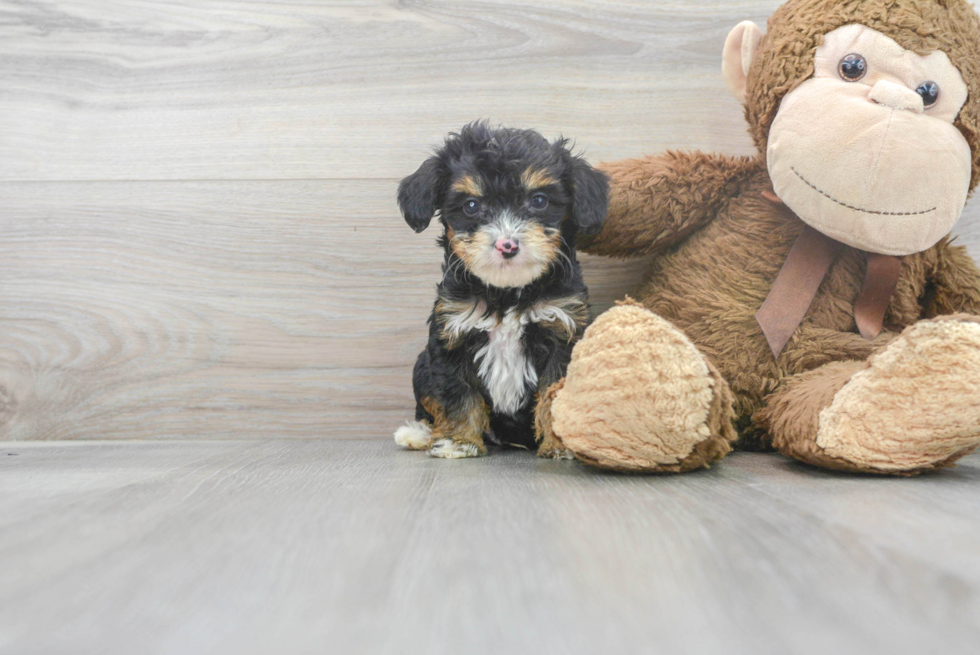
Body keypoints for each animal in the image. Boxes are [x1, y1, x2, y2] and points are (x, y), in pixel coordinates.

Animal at [394, 123, 608, 462]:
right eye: (471, 206)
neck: (507, 293)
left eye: (539, 201)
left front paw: (560, 443)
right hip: (421, 366)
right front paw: (457, 441)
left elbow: (556, 392)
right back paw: (419, 434)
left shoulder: (563, 330)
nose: (507, 245)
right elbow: (457, 393)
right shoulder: (452, 334)